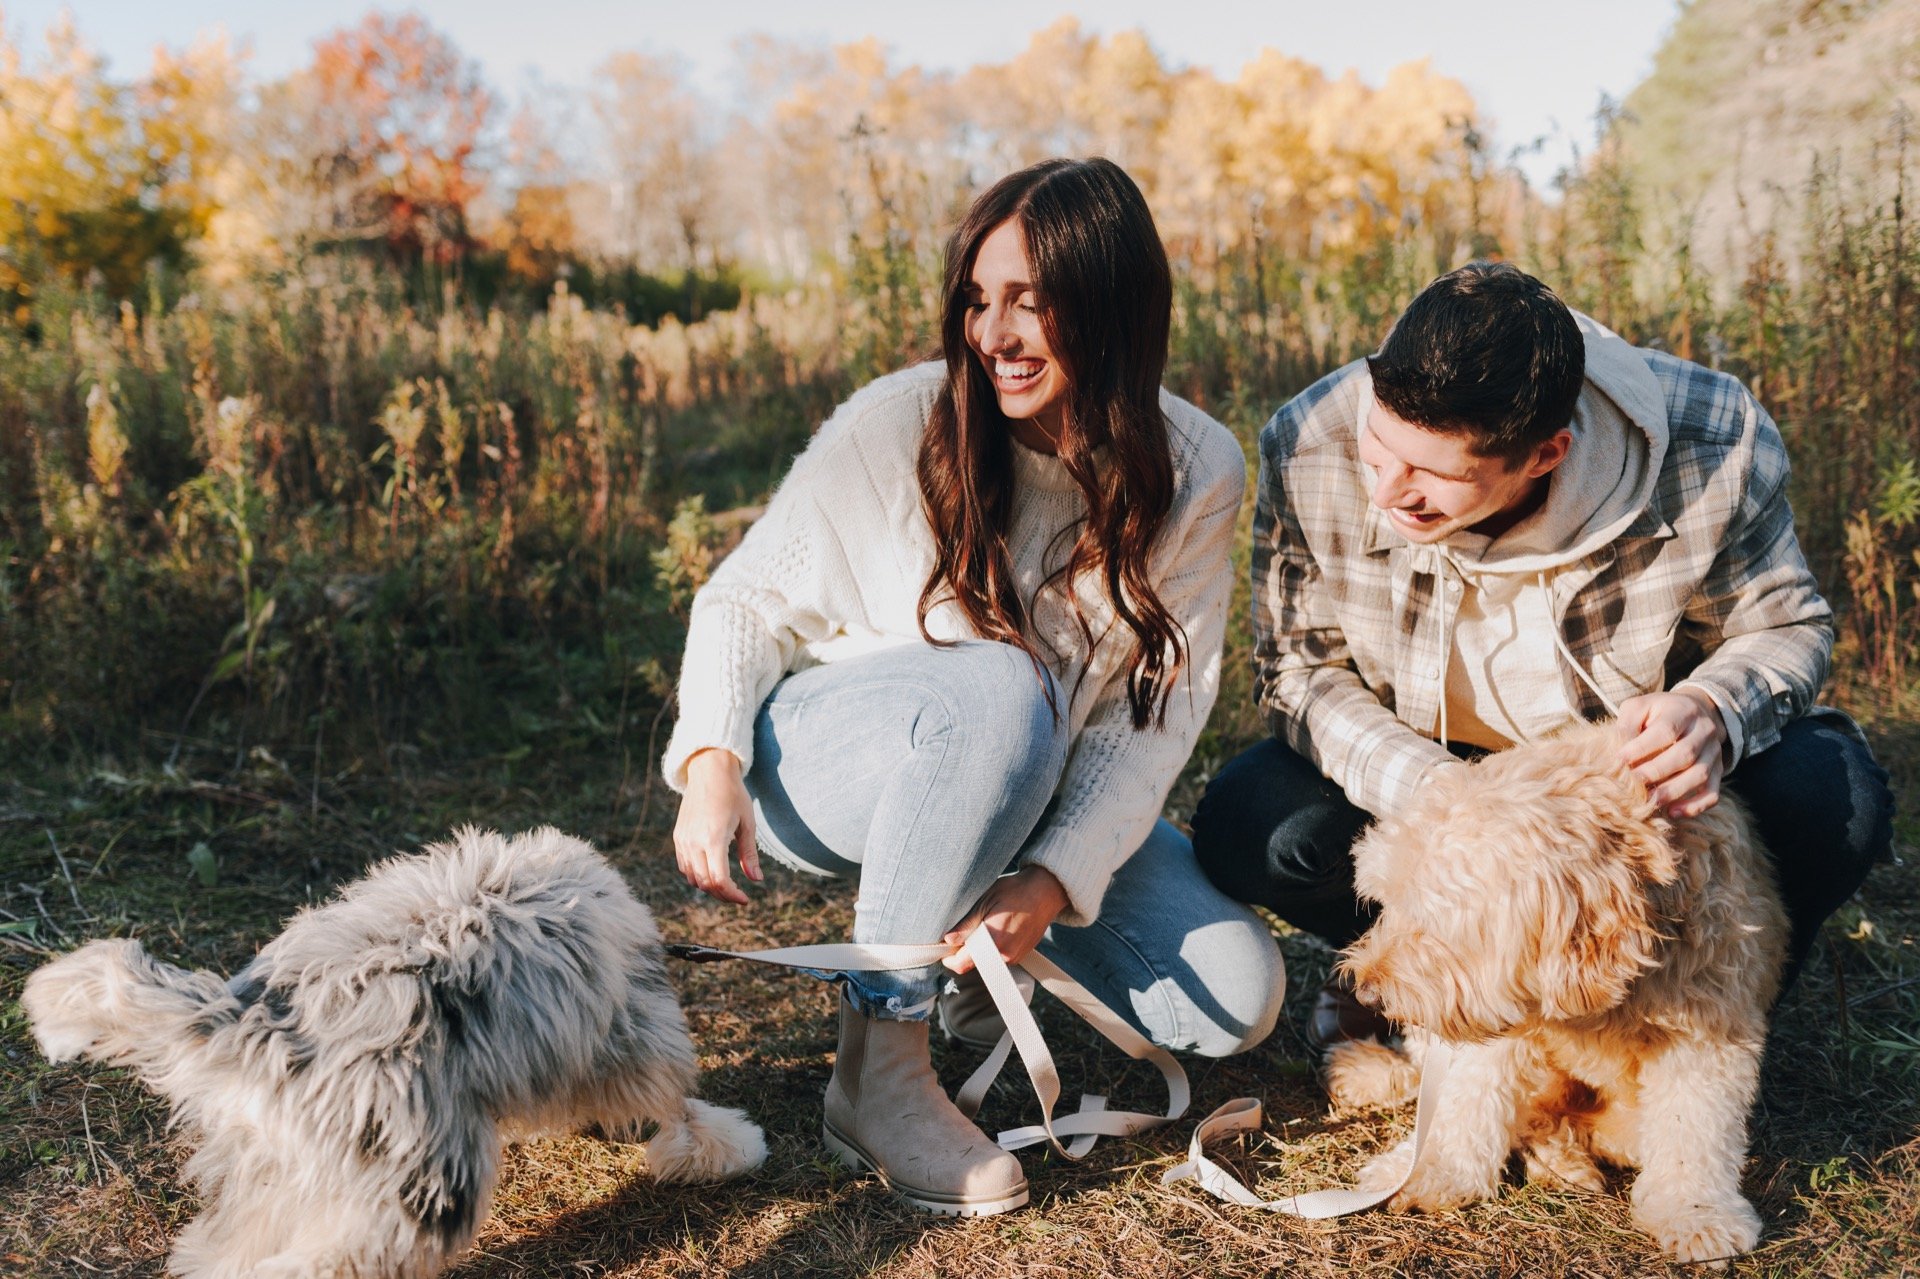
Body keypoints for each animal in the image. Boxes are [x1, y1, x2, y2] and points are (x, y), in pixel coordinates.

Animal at [24, 825, 764, 1275]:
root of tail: (260, 1021)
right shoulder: (632, 1037)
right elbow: (677, 1107)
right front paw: (729, 1145)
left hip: (278, 1172)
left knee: (230, 1253)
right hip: (418, 1180)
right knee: (326, 1261)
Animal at [1328, 718, 1789, 1267]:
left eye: (1431, 919)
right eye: (1387, 902)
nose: (1366, 993)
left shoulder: (1710, 1028)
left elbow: (1695, 1124)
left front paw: (1696, 1214)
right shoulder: (1498, 1014)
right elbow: (1467, 1098)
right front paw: (1430, 1168)